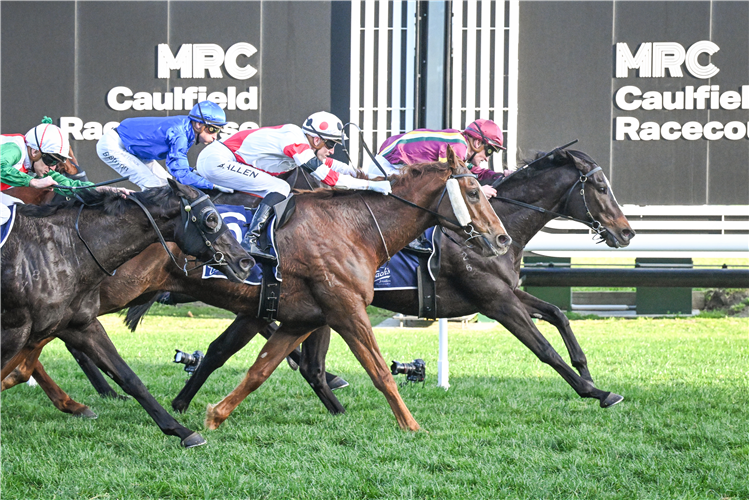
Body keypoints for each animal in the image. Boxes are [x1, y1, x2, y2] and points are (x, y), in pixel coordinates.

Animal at [0, 181, 251, 450]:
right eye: (211, 218)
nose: (245, 261)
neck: (63, 251)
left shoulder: (79, 325)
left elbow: (128, 377)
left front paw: (182, 431)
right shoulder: (15, 329)